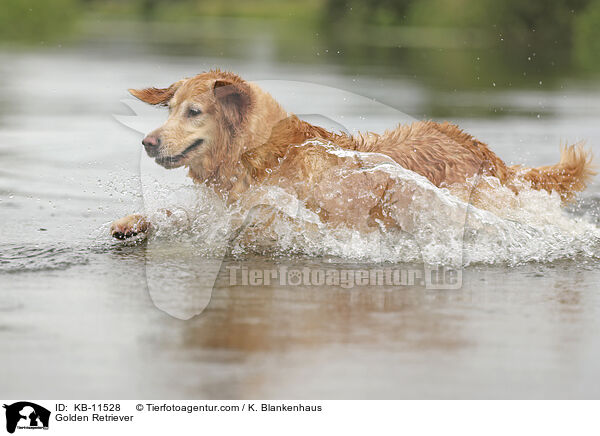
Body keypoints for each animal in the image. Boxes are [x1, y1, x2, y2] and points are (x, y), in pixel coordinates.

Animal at [109, 69, 596, 238]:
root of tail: (478, 146)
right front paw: (133, 221)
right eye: (169, 108)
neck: (261, 154)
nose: (148, 141)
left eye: (193, 112)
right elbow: (177, 215)